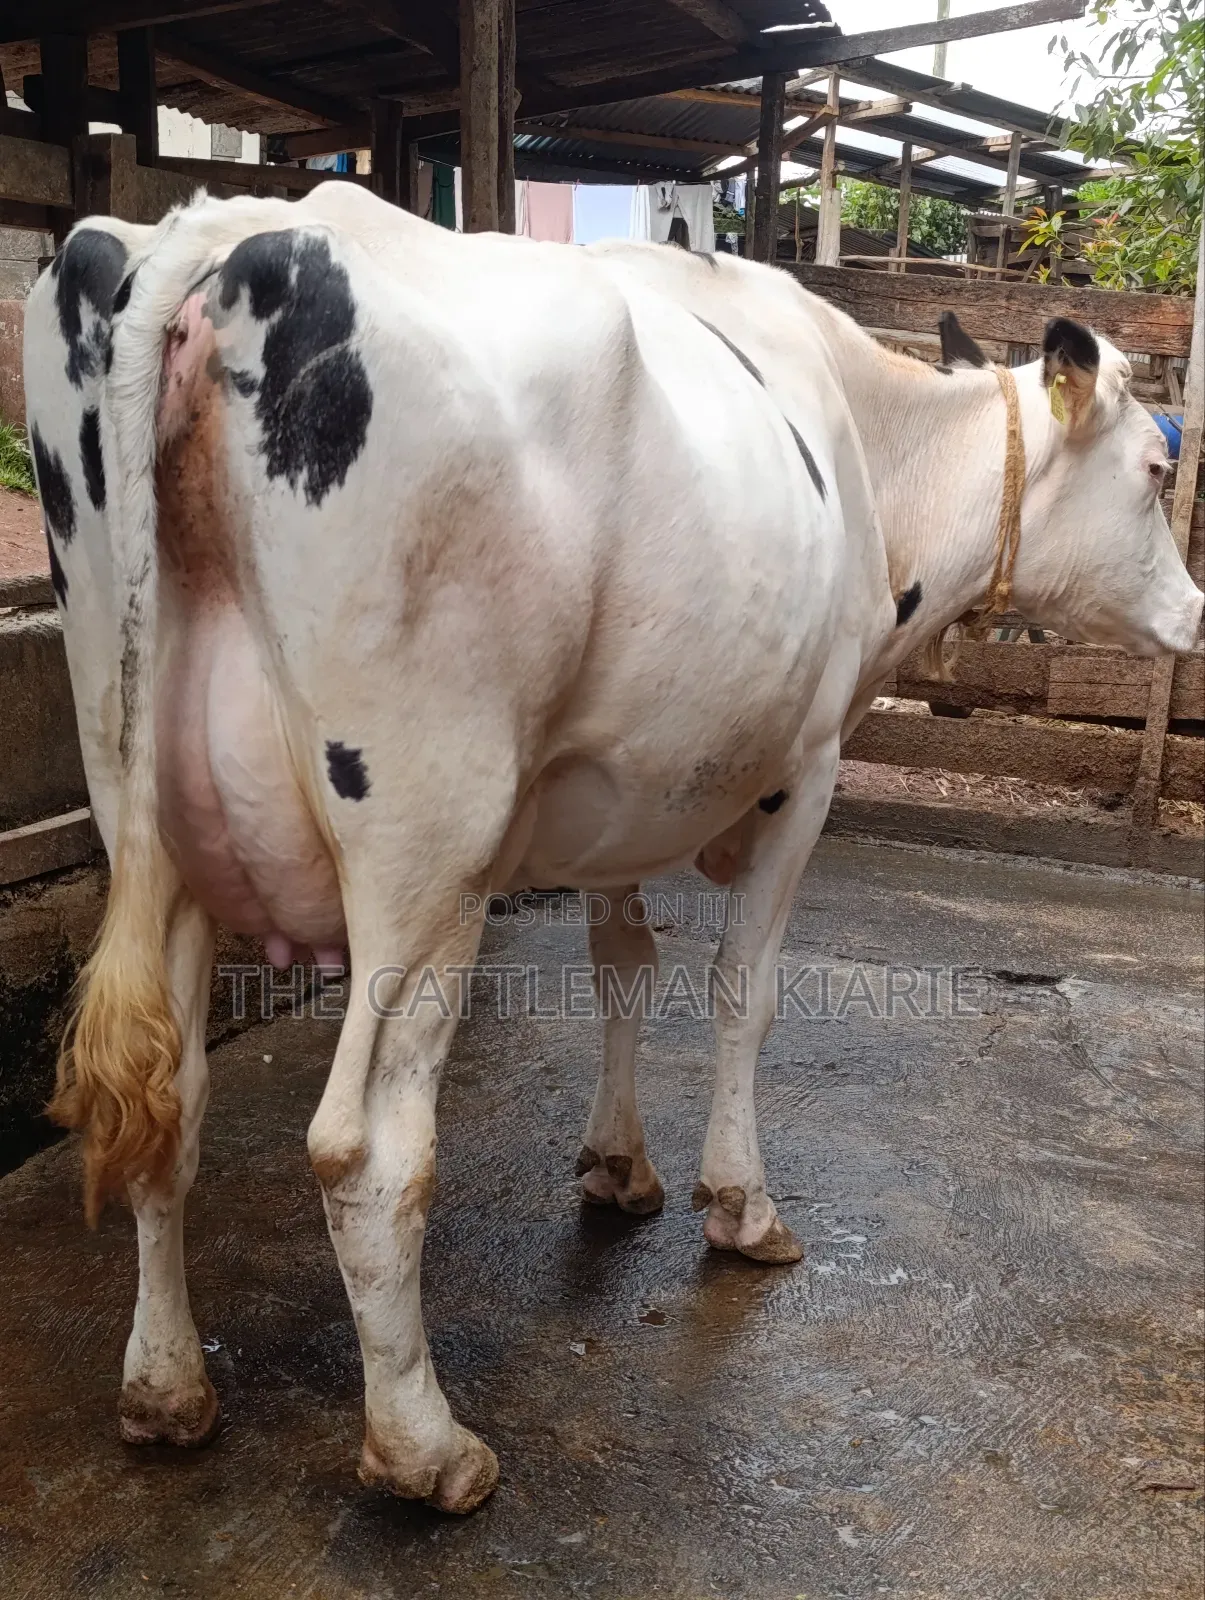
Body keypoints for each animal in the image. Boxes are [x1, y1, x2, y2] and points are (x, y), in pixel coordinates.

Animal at [24, 183, 1200, 1515]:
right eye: (1157, 469)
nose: (1194, 613)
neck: (866, 446)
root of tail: (221, 231)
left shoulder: (627, 778)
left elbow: (622, 968)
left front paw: (615, 1164)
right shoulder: (807, 768)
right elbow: (742, 992)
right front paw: (738, 1205)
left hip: (138, 793)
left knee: (166, 1097)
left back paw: (165, 1389)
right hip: (426, 843)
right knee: (365, 1149)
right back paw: (424, 1445)